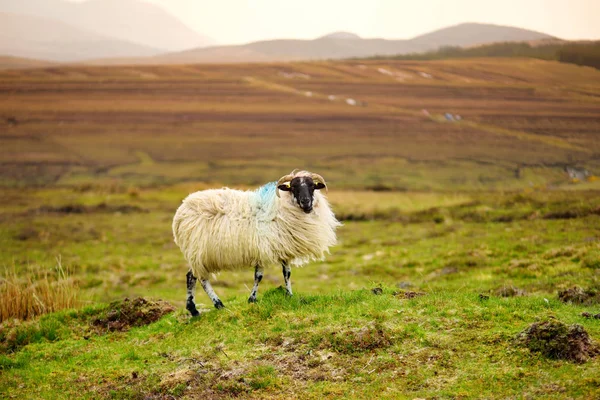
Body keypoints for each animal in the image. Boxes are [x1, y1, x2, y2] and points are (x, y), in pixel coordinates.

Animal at [173, 170, 342, 316]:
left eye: (312, 186)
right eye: (293, 187)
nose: (306, 202)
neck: (280, 209)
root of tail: (181, 211)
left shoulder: (283, 249)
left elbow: (287, 273)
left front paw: (289, 295)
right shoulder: (262, 249)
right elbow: (259, 276)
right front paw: (252, 299)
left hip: (197, 254)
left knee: (191, 276)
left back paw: (194, 310)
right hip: (199, 252)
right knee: (201, 279)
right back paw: (217, 304)